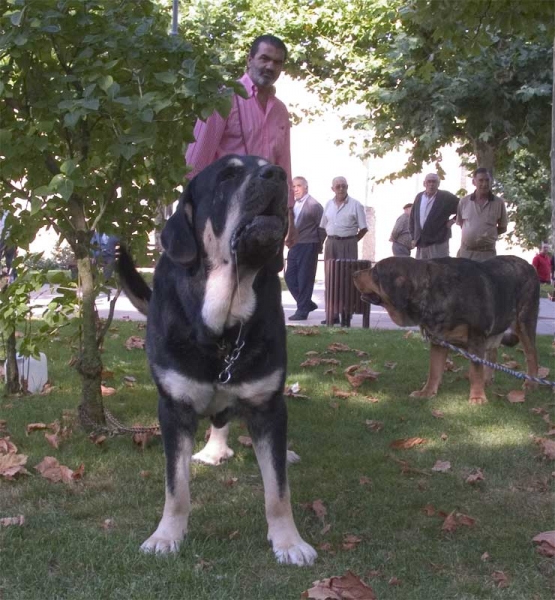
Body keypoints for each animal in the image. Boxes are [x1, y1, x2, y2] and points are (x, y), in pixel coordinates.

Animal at [116, 155, 318, 568]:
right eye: (228, 175)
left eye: (270, 167)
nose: (277, 175)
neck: (223, 327)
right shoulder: (173, 408)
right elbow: (175, 487)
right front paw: (166, 536)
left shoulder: (268, 406)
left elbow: (278, 490)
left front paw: (288, 541)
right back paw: (212, 450)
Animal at [354, 256, 540, 404]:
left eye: (375, 272)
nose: (354, 273)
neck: (431, 292)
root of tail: (529, 265)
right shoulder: (439, 340)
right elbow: (434, 370)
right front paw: (427, 392)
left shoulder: (476, 337)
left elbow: (475, 370)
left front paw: (477, 397)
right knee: (492, 352)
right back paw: (488, 379)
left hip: (523, 322)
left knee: (531, 356)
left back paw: (530, 383)